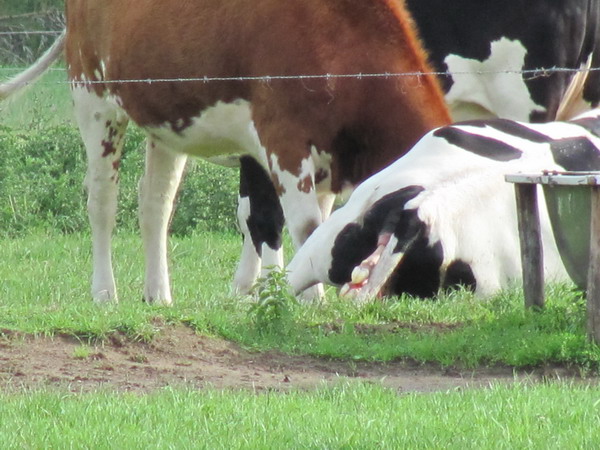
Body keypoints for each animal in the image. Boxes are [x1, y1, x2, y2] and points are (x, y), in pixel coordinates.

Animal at [0, 0, 450, 304]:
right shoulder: (282, 142)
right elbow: (298, 225)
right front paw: (304, 301)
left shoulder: (328, 164)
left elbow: (319, 226)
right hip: (94, 100)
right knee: (102, 201)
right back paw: (104, 293)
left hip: (165, 121)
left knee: (155, 205)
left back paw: (158, 295)